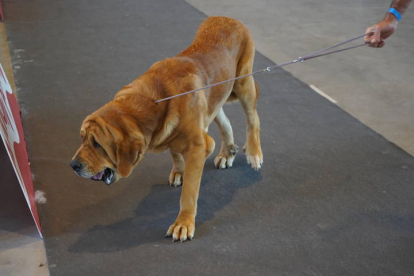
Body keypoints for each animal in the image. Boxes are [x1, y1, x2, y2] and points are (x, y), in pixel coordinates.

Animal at [70, 16, 262, 242]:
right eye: (82, 138)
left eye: (97, 144)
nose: (73, 165)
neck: (152, 103)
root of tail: (229, 18)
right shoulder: (170, 134)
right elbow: (175, 152)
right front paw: (178, 171)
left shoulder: (198, 147)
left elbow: (189, 193)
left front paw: (183, 223)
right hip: (217, 94)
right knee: (223, 118)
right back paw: (227, 152)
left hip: (243, 83)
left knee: (253, 118)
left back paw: (254, 152)